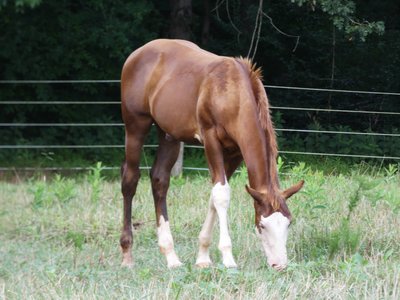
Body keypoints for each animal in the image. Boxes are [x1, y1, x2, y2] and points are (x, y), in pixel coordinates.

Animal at [119, 38, 304, 270]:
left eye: (289, 222)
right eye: (262, 225)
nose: (279, 265)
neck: (232, 93)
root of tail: (136, 54)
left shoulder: (235, 153)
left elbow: (214, 195)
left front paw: (203, 257)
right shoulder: (210, 140)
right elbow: (221, 195)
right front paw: (228, 258)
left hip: (169, 134)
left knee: (160, 179)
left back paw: (171, 256)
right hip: (135, 125)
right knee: (130, 179)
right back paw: (127, 254)